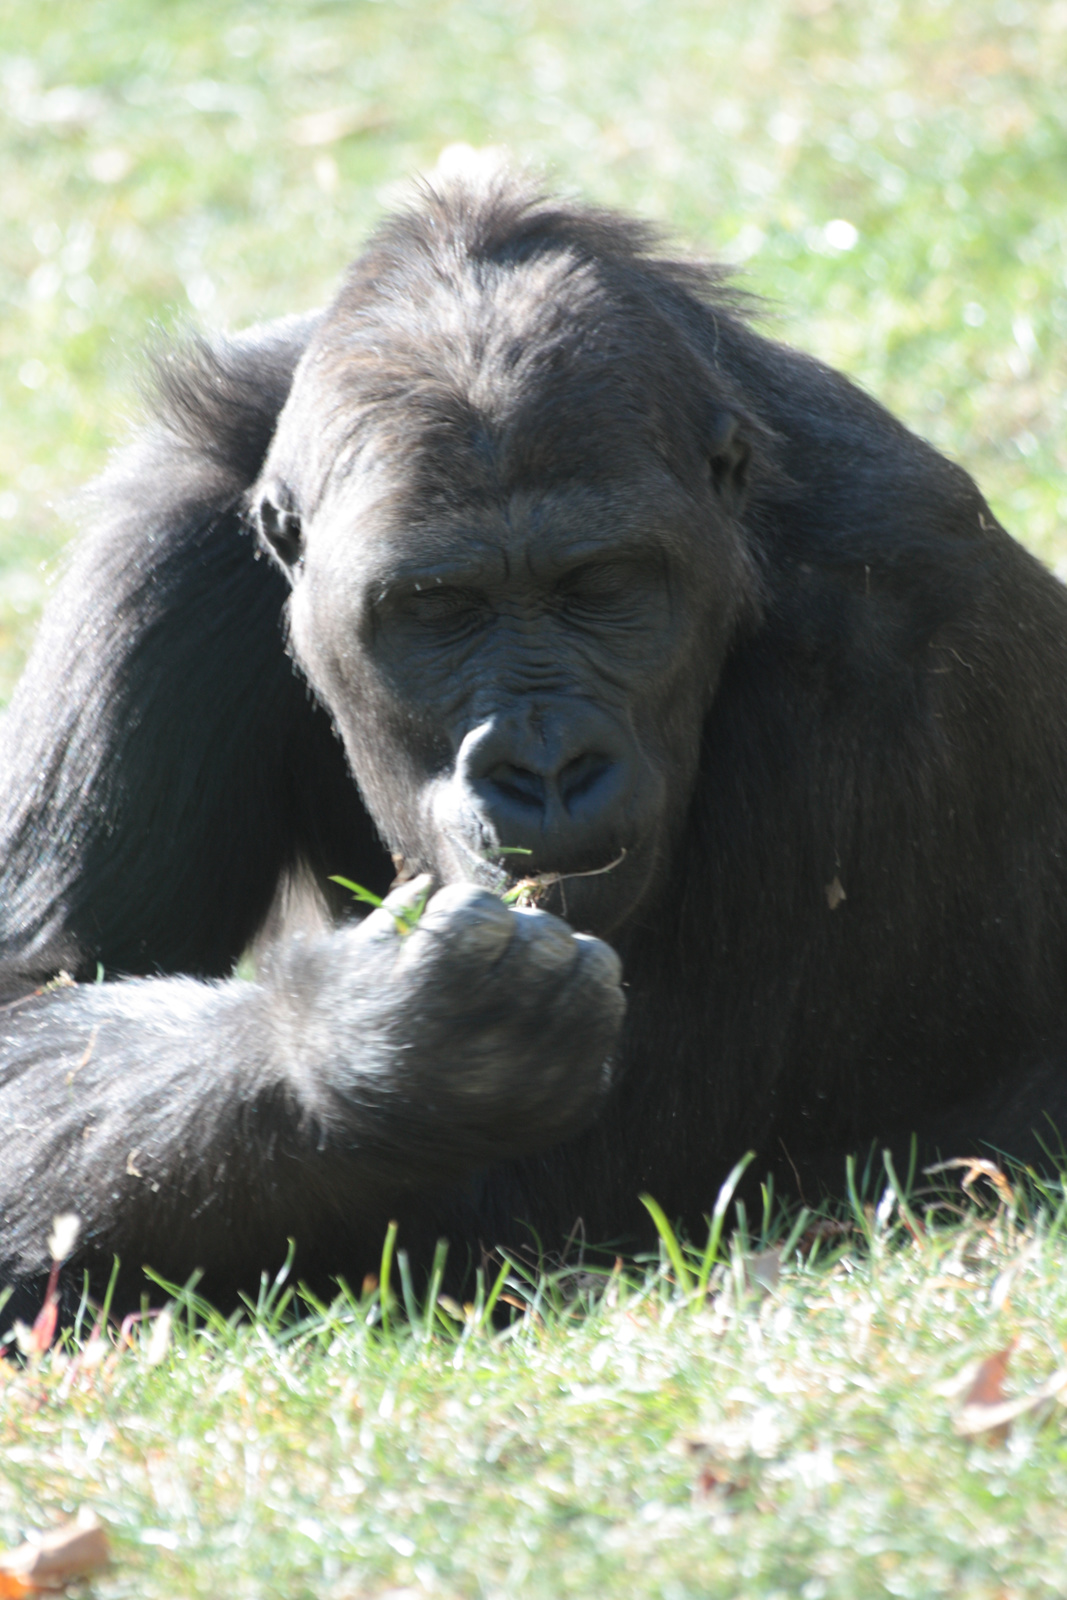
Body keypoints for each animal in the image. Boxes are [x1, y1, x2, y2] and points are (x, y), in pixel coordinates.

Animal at [2, 165, 1067, 1312]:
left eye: (599, 585)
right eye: (437, 605)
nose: (545, 764)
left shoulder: (898, 619)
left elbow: (601, 1174)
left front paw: (414, 1051)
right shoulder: (161, 546)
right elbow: (43, 985)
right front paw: (371, 1044)